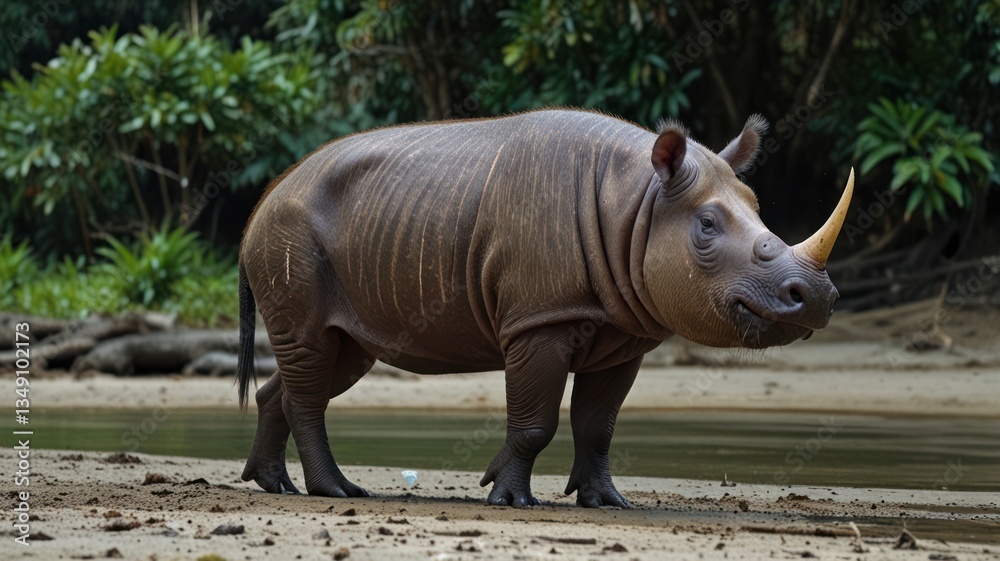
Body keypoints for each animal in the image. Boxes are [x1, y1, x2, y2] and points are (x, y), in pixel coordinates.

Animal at [236, 109, 853, 508]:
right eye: (706, 226)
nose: (816, 298)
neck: (639, 201)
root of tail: (260, 204)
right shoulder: (541, 320)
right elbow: (535, 423)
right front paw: (509, 498)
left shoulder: (624, 332)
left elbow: (598, 425)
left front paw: (606, 502)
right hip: (290, 232)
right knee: (312, 352)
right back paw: (335, 491)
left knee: (335, 357)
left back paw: (272, 484)